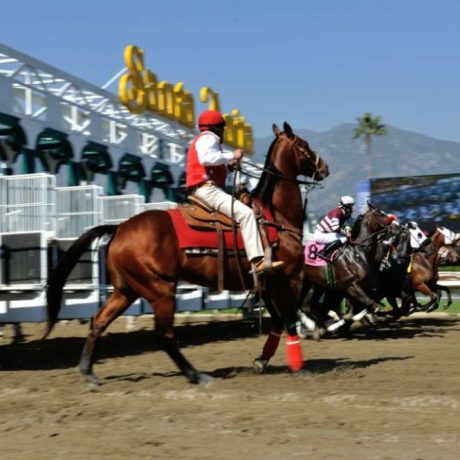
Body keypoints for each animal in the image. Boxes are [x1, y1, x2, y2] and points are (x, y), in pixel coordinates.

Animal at [45, 121, 328, 384]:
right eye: (303, 144)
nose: (324, 167)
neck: (275, 217)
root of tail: (120, 228)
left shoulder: (268, 285)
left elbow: (278, 321)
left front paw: (262, 360)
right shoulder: (288, 279)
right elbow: (289, 319)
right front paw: (299, 367)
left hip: (127, 290)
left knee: (99, 321)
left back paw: (89, 372)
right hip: (160, 289)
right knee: (164, 335)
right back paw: (196, 375)